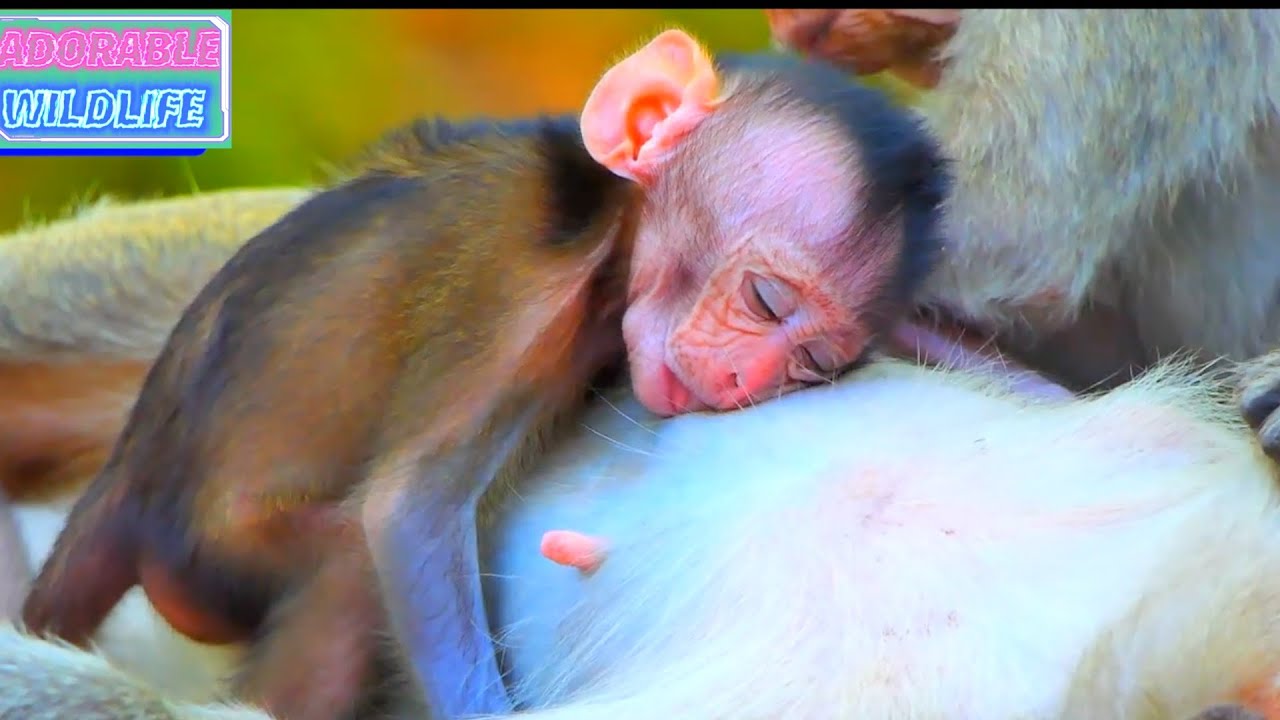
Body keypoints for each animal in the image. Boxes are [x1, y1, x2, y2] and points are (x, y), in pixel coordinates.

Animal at [18, 29, 951, 720]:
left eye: (810, 365)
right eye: (764, 299)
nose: (741, 380)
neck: (606, 222)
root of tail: (130, 483)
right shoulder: (518, 295)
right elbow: (407, 510)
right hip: (208, 562)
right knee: (350, 566)